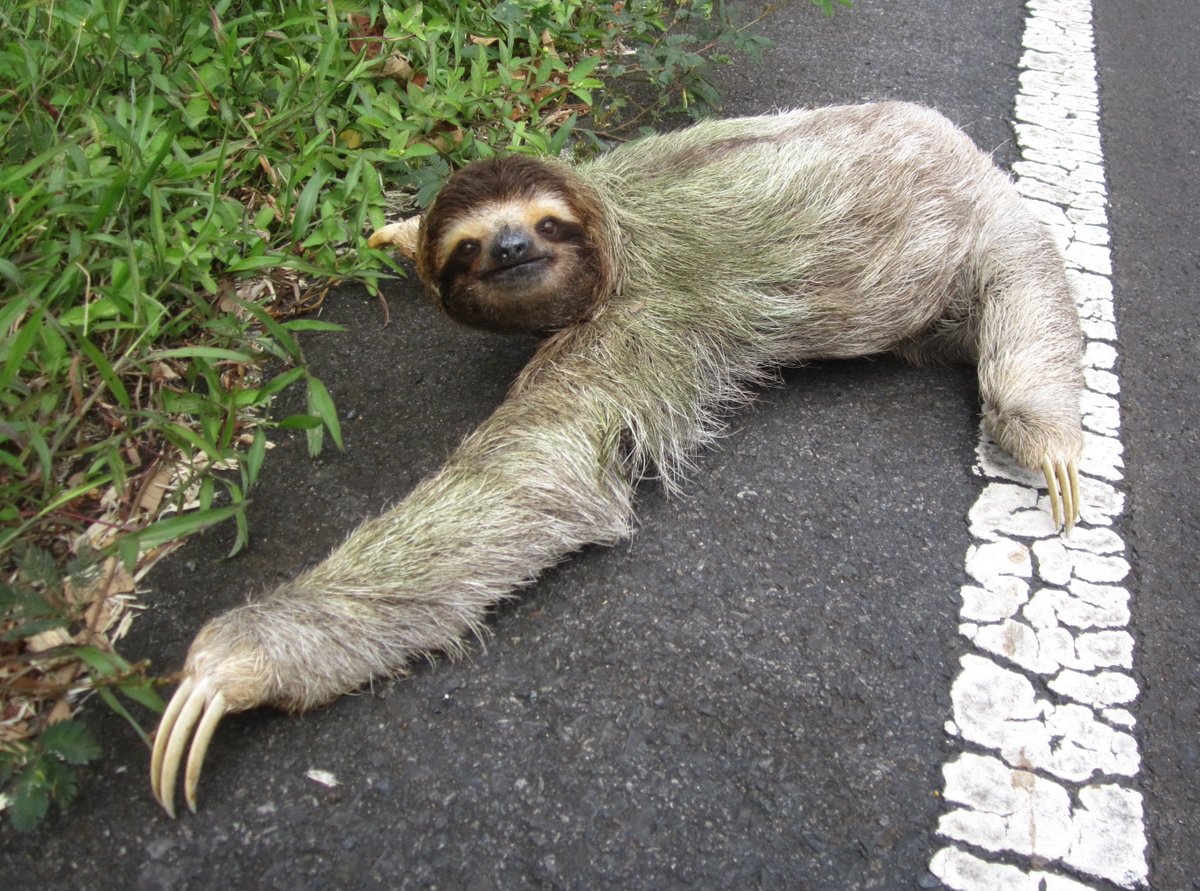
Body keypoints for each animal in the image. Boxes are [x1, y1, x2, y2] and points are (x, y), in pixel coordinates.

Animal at [150, 102, 1084, 816]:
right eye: (469, 244)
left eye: (544, 224)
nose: (512, 250)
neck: (617, 227)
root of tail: (946, 134)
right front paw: (397, 229)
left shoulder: (635, 321)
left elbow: (533, 468)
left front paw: (237, 661)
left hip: (992, 224)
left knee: (1021, 309)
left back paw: (1049, 436)